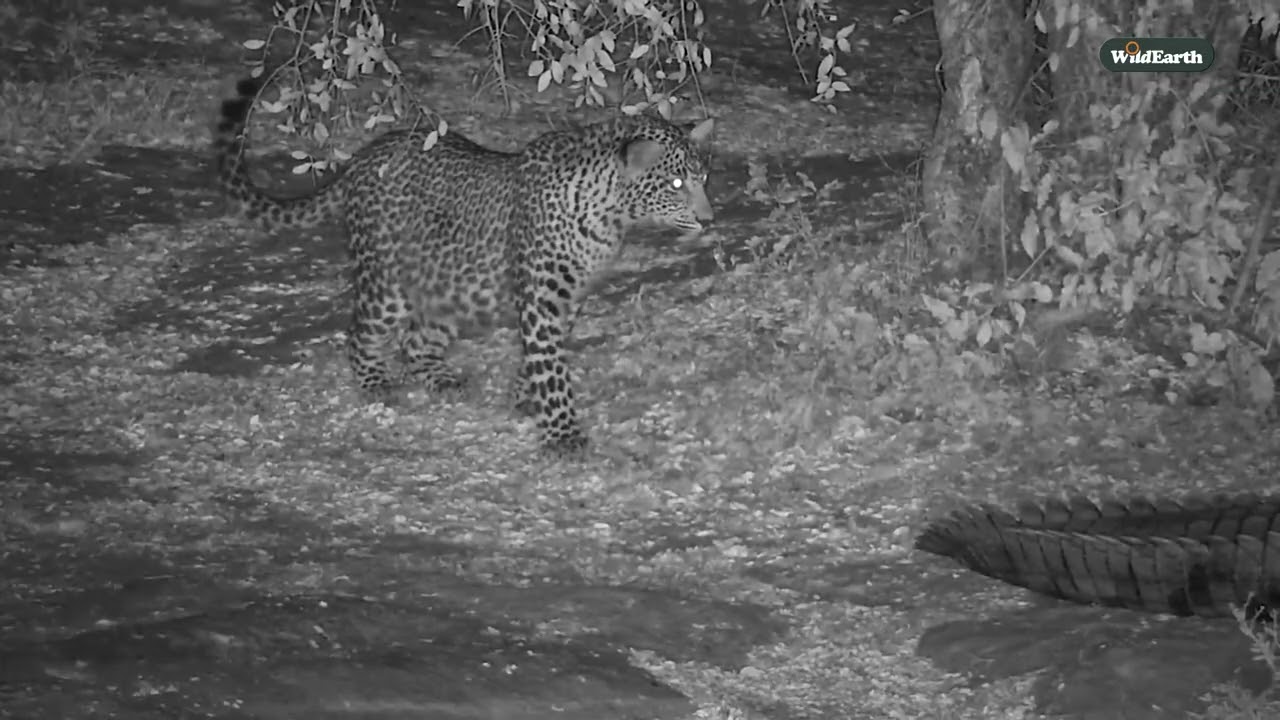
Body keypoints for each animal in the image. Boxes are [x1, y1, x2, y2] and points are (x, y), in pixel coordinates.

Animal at [213, 76, 715, 455]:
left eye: (702, 179)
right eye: (675, 184)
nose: (709, 218)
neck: (609, 214)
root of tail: (364, 156)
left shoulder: (568, 297)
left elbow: (540, 358)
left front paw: (526, 399)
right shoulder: (542, 297)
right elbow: (551, 365)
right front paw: (564, 435)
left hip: (448, 284)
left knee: (416, 342)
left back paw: (442, 379)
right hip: (389, 283)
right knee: (360, 332)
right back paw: (376, 383)